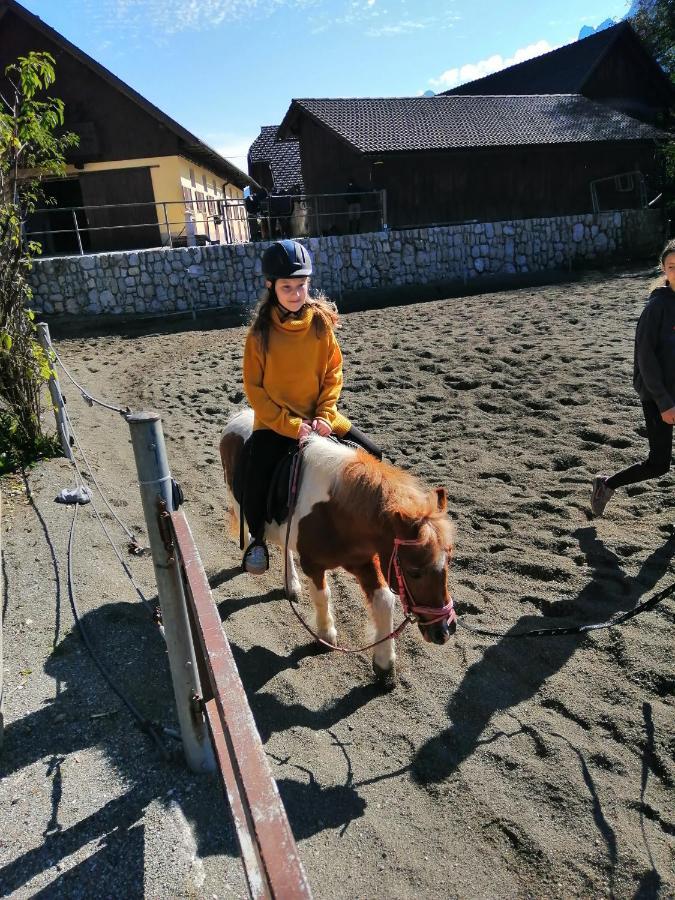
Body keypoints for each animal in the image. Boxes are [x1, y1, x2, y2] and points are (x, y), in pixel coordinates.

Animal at [219, 410, 456, 684]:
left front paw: (385, 664)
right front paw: (325, 635)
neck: (336, 511)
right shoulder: (313, 564)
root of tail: (241, 415)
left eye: (448, 563)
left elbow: (384, 601)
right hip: (239, 500)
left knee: (284, 547)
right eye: (414, 571)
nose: (444, 630)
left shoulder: (364, 561)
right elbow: (323, 596)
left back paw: (291, 584)